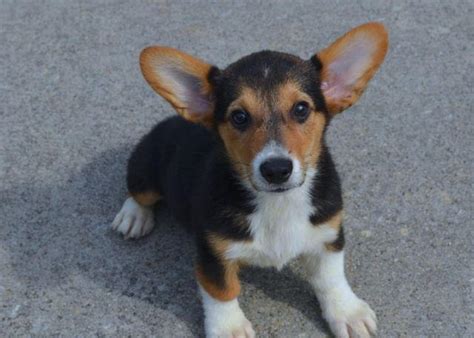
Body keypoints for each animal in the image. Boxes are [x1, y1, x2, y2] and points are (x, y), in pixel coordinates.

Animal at [112, 22, 388, 336]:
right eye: (239, 116)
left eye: (301, 109)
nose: (277, 169)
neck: (278, 202)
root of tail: (171, 121)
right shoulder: (213, 252)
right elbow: (222, 291)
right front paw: (228, 327)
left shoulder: (328, 233)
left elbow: (330, 276)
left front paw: (347, 312)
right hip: (145, 169)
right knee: (138, 193)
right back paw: (133, 217)